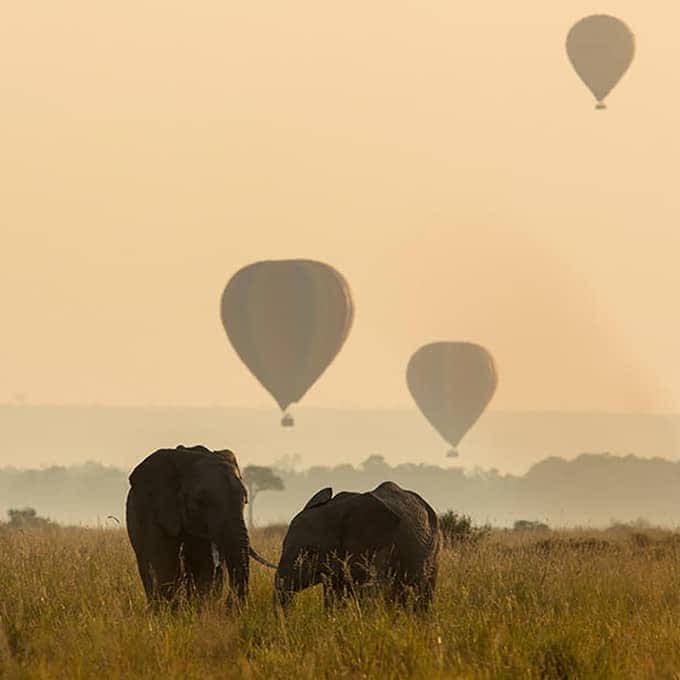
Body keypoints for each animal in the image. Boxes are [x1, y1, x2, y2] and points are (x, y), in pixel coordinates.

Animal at [126, 444, 274, 604]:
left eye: (245, 500)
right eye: (200, 502)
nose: (229, 601)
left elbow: (204, 570)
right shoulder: (152, 511)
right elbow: (164, 567)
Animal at [274, 480, 440, 608]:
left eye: (310, 552)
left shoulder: (378, 547)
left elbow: (370, 592)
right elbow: (333, 596)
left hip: (435, 545)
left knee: (424, 590)